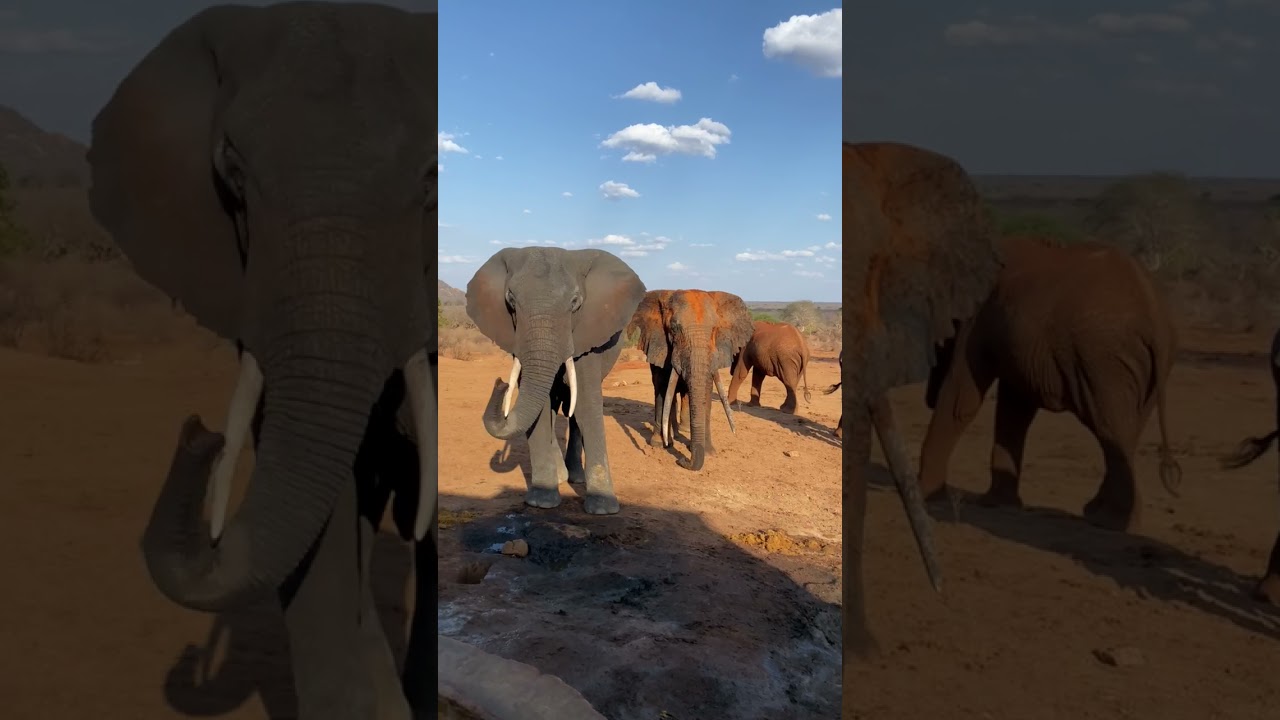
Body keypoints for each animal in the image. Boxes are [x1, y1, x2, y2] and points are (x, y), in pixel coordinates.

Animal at [466, 246, 647, 515]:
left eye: (575, 302)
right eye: (510, 300)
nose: (501, 383)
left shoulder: (587, 332)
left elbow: (586, 405)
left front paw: (602, 508)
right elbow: (540, 409)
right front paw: (541, 501)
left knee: (573, 413)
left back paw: (576, 478)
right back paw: (561, 476)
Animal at [629, 289, 755, 470]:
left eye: (715, 329)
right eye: (674, 329)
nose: (683, 461)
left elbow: (706, 392)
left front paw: (709, 451)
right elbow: (663, 389)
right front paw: (660, 445)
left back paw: (683, 431)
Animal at [917, 234, 1183, 533]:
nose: (928, 397)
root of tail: (1154, 316)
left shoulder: (979, 319)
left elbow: (961, 401)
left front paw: (925, 495)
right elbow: (1015, 411)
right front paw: (996, 504)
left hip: (1102, 359)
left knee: (1111, 428)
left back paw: (1110, 522)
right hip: (1146, 366)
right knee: (1126, 430)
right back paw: (1100, 515)